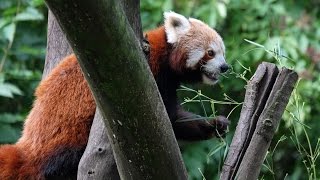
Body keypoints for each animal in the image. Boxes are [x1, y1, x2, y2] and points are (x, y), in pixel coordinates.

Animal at [0, 11, 230, 179]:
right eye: (211, 52)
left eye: (223, 53)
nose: (225, 67)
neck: (164, 55)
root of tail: (28, 149)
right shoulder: (150, 76)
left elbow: (174, 119)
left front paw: (215, 124)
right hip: (67, 141)